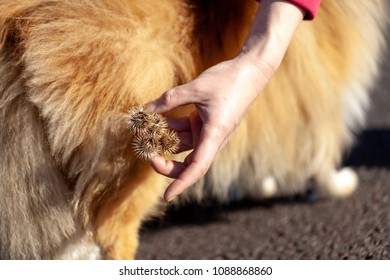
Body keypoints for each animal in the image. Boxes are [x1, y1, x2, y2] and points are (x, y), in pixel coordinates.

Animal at [0, 0, 386, 260]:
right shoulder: (323, 82)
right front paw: (335, 184)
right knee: (108, 235)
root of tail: (21, 18)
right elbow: (323, 145)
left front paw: (258, 185)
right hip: (135, 178)